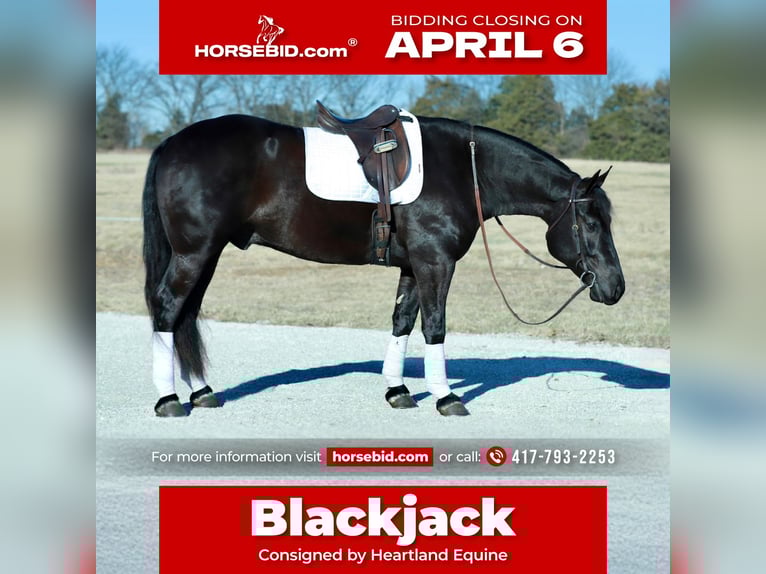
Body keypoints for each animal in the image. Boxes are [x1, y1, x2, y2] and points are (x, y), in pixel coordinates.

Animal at [142, 110, 625, 418]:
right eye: (591, 222)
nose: (615, 287)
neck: (463, 169)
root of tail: (173, 143)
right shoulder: (436, 263)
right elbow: (435, 327)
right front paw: (445, 397)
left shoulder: (414, 266)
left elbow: (402, 322)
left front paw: (398, 390)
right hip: (195, 252)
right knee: (167, 307)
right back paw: (168, 401)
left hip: (207, 254)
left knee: (186, 313)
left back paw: (202, 393)